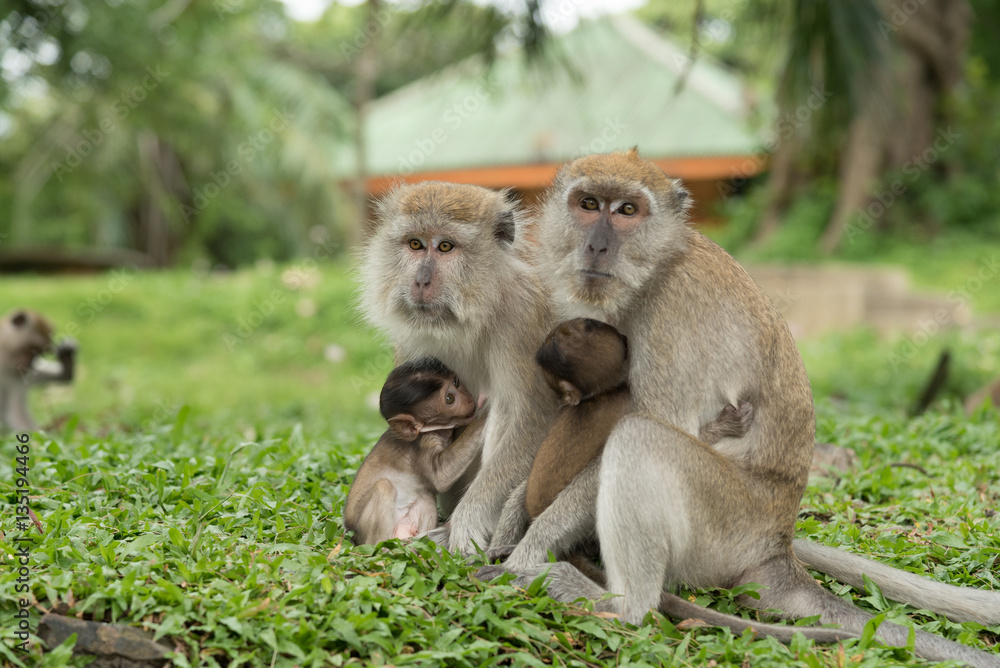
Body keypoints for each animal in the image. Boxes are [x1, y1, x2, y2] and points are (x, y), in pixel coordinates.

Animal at [344, 358, 484, 544]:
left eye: (456, 383)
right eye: (450, 398)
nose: (469, 399)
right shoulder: (424, 444)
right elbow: (441, 476)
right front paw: (483, 418)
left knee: (425, 496)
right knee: (384, 487)